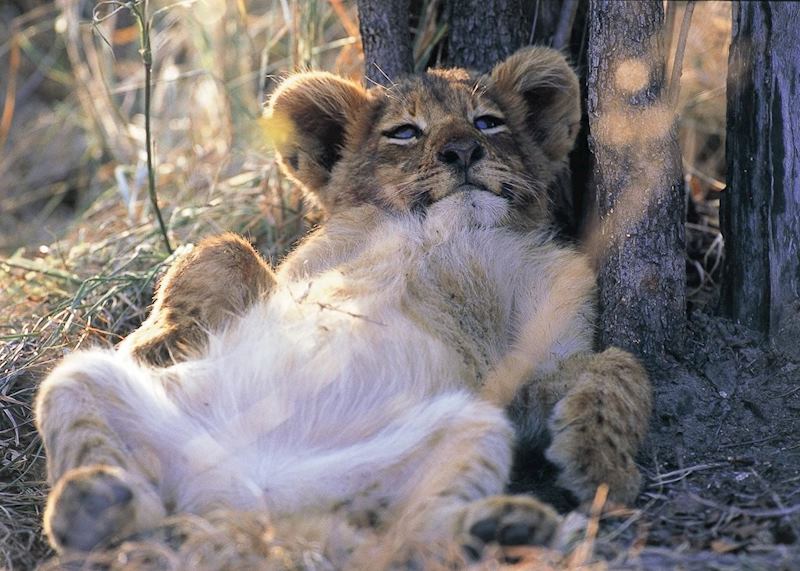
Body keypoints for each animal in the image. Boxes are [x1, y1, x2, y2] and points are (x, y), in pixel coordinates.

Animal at [35, 46, 651, 567]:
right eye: (404, 132)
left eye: (487, 122)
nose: (462, 151)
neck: (444, 234)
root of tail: (256, 501)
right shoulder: (292, 274)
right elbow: (223, 247)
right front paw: (156, 342)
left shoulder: (535, 366)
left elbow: (619, 365)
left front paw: (602, 464)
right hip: (80, 381)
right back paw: (91, 503)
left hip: (468, 426)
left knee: (413, 535)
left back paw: (505, 527)